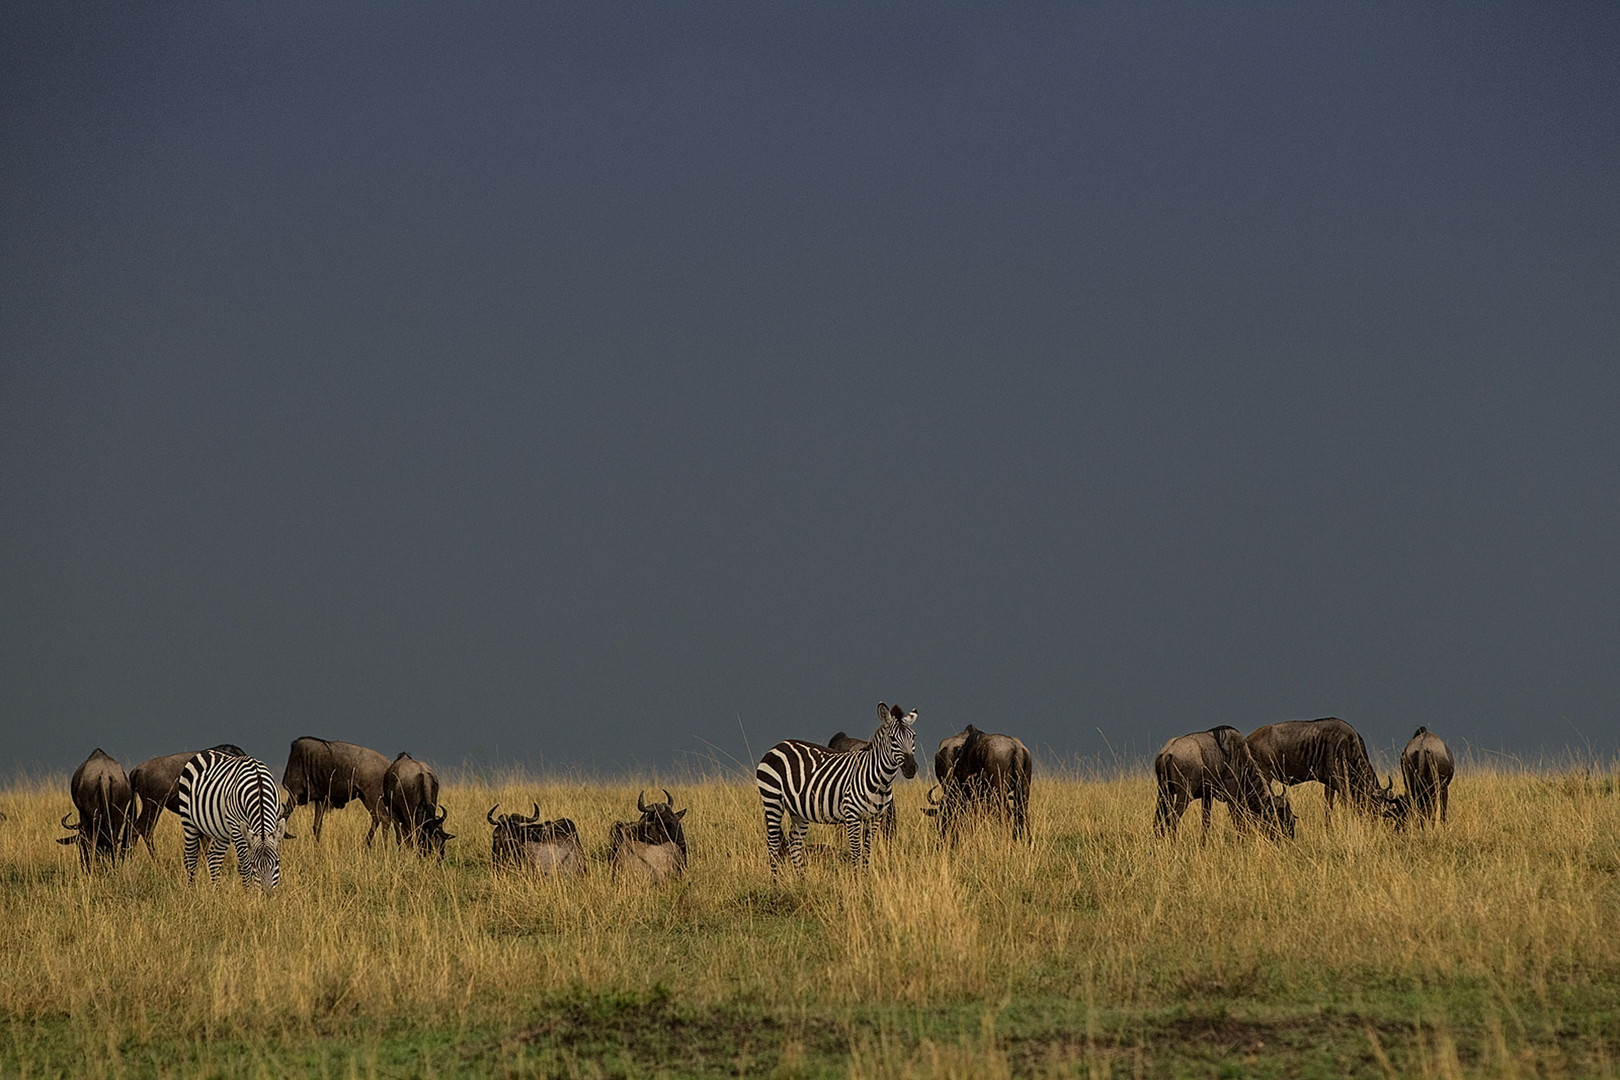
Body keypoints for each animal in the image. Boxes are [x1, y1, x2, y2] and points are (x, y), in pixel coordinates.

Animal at [176, 748, 285, 893]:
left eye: (277, 862)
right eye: (254, 864)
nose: (267, 894)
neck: (259, 787)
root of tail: (206, 751)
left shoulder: (274, 819)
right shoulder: (237, 827)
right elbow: (244, 865)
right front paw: (248, 894)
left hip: (222, 831)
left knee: (213, 857)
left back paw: (217, 893)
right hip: (188, 819)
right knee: (191, 856)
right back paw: (192, 892)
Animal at [754, 702, 920, 867]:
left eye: (913, 737)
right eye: (892, 738)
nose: (911, 768)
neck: (880, 781)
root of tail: (779, 745)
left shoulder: (875, 818)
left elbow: (867, 853)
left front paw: (865, 874)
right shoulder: (852, 816)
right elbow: (856, 853)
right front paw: (856, 875)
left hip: (798, 810)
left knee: (794, 845)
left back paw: (800, 875)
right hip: (772, 800)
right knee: (773, 844)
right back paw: (775, 875)